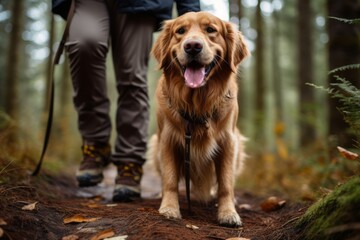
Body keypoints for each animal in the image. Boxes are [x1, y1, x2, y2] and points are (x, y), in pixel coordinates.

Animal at [148, 11, 249, 227]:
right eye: (180, 31)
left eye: (210, 29)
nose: (192, 46)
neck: (197, 103)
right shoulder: (167, 140)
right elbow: (170, 179)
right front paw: (169, 208)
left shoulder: (229, 142)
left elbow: (226, 183)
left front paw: (228, 213)